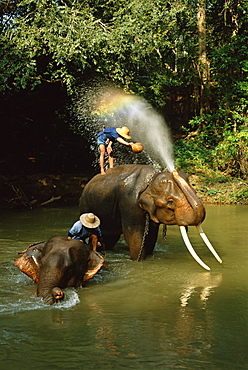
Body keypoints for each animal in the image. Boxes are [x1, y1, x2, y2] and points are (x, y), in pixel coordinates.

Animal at [79, 164, 221, 268]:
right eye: (170, 202)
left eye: (195, 191)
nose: (174, 170)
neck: (150, 182)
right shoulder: (129, 204)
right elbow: (134, 236)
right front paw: (138, 261)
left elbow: (151, 236)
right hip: (85, 205)